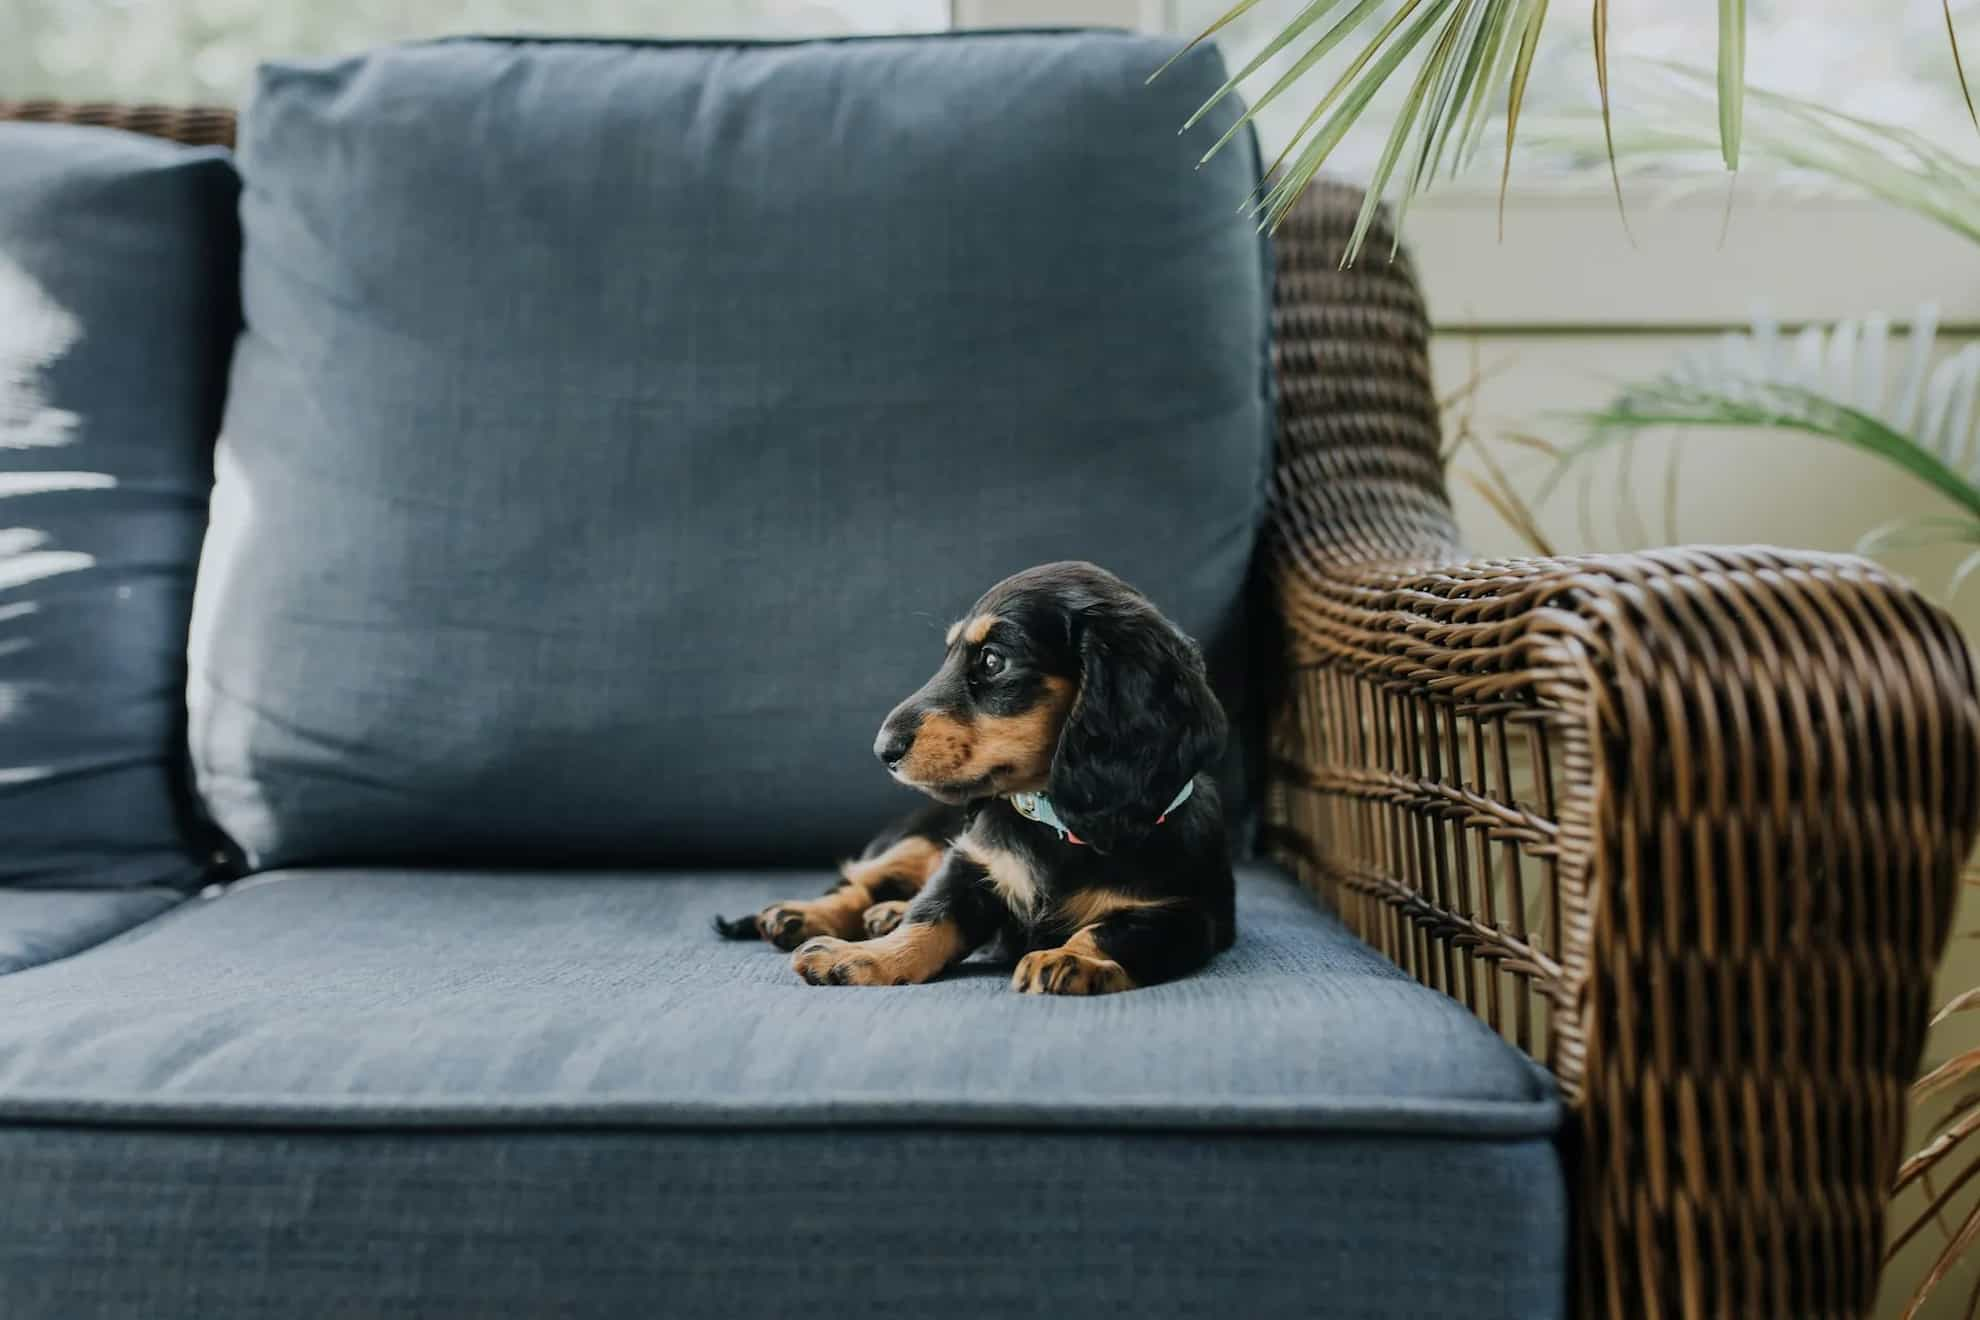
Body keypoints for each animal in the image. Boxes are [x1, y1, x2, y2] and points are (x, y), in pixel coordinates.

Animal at [720, 562, 1227, 997]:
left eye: (991, 661)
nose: (883, 750)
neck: (1054, 824)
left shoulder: (1182, 913)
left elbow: (1108, 932)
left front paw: (1071, 960)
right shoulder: (969, 863)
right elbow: (931, 916)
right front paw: (862, 957)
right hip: (920, 837)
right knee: (861, 881)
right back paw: (804, 915)